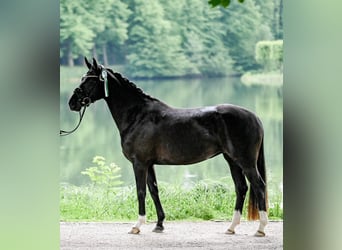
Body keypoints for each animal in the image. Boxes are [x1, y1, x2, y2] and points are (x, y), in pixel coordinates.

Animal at [68, 58, 268, 236]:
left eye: (89, 80)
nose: (72, 103)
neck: (138, 116)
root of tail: (255, 117)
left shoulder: (139, 163)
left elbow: (141, 192)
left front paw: (137, 226)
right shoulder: (149, 164)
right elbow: (154, 190)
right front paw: (159, 224)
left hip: (246, 162)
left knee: (259, 185)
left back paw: (260, 228)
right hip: (232, 160)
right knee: (241, 188)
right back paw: (231, 227)